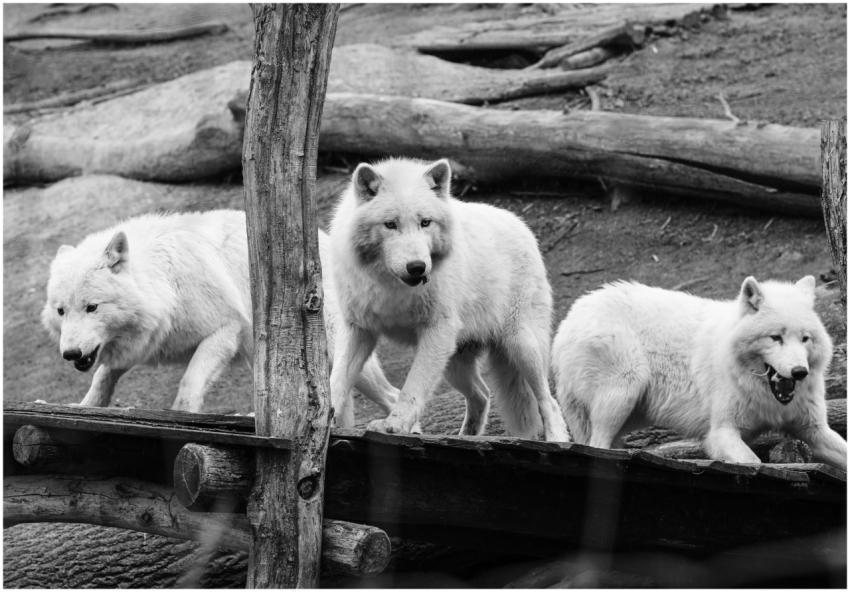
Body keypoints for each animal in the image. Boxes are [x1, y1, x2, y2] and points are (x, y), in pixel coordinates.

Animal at [41, 210, 398, 415]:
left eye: (92, 307)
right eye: (61, 311)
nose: (71, 354)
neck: (165, 283)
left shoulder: (225, 330)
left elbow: (189, 385)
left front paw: (182, 416)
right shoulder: (141, 342)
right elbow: (102, 377)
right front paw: (83, 407)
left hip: (339, 356)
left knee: (392, 396)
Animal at [327, 157, 569, 440]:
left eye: (425, 222)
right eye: (390, 224)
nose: (417, 267)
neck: (392, 286)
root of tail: (520, 223)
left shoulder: (437, 331)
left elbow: (412, 388)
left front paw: (394, 426)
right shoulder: (358, 330)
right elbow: (336, 380)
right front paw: (322, 416)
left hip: (521, 346)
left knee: (548, 400)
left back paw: (557, 440)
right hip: (454, 363)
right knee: (482, 395)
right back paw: (466, 436)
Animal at [552, 277, 846, 469]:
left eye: (805, 339)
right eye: (776, 338)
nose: (799, 372)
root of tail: (570, 317)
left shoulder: (815, 431)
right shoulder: (721, 432)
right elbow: (752, 461)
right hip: (624, 391)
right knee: (596, 445)